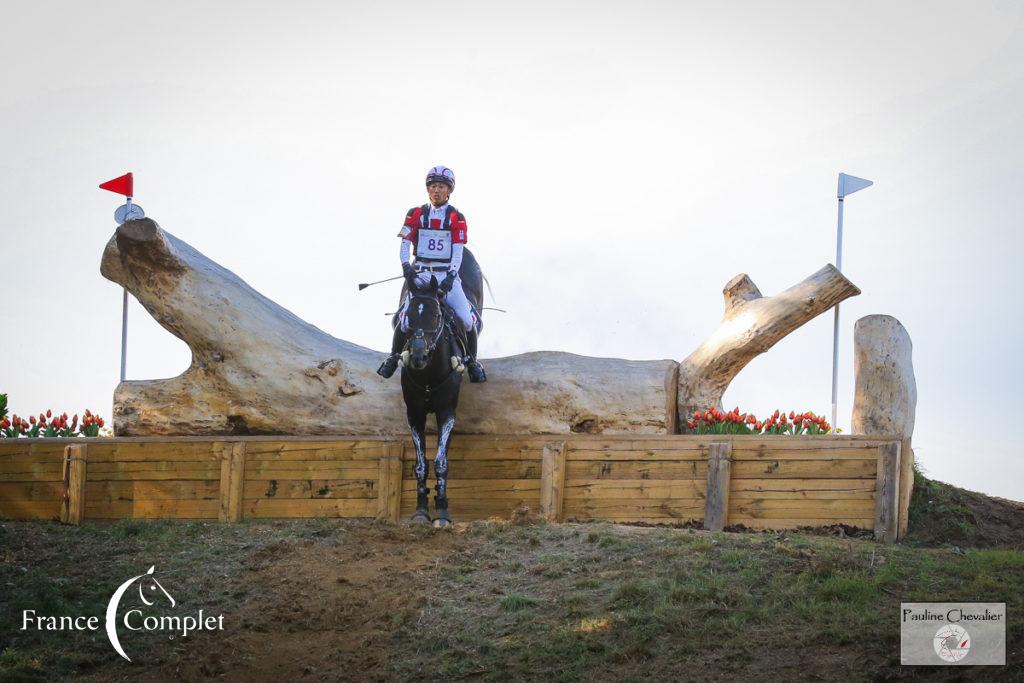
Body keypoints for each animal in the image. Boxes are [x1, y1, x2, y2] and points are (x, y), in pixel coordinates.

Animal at [393, 250, 485, 528]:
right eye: (410, 317)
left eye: (436, 315)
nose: (418, 355)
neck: (428, 374)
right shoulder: (414, 413)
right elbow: (420, 464)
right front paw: (421, 512)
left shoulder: (447, 411)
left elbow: (441, 461)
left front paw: (442, 512)